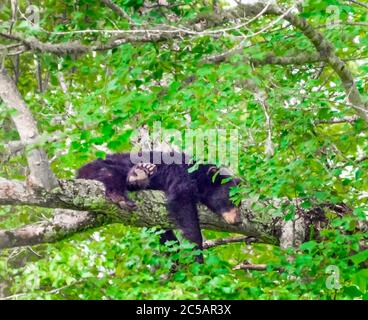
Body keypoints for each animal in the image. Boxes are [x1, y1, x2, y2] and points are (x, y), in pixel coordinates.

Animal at [77, 151, 242, 262]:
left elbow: (160, 226)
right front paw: (197, 253)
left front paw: (172, 247)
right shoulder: (179, 174)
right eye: (231, 199)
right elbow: (182, 202)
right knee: (112, 173)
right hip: (103, 167)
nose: (238, 221)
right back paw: (127, 187)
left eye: (240, 204)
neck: (198, 175)